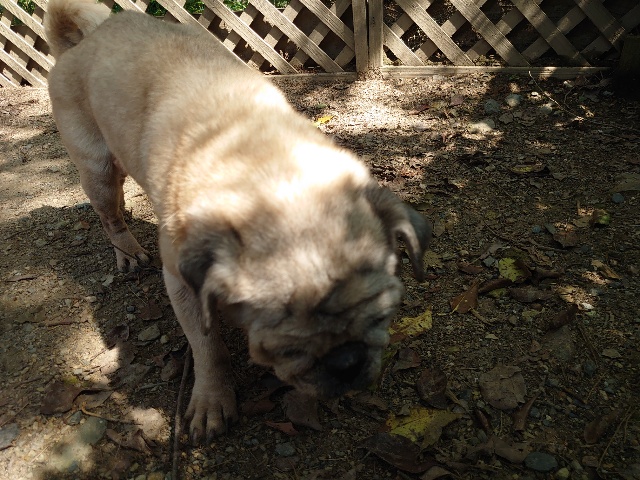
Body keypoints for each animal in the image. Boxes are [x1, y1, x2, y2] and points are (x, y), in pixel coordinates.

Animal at [44, 0, 432, 443]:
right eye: (284, 345)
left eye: (383, 314)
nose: (347, 361)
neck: (266, 167)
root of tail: (81, 42)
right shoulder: (182, 284)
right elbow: (208, 349)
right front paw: (212, 400)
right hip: (97, 168)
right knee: (109, 215)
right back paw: (127, 253)